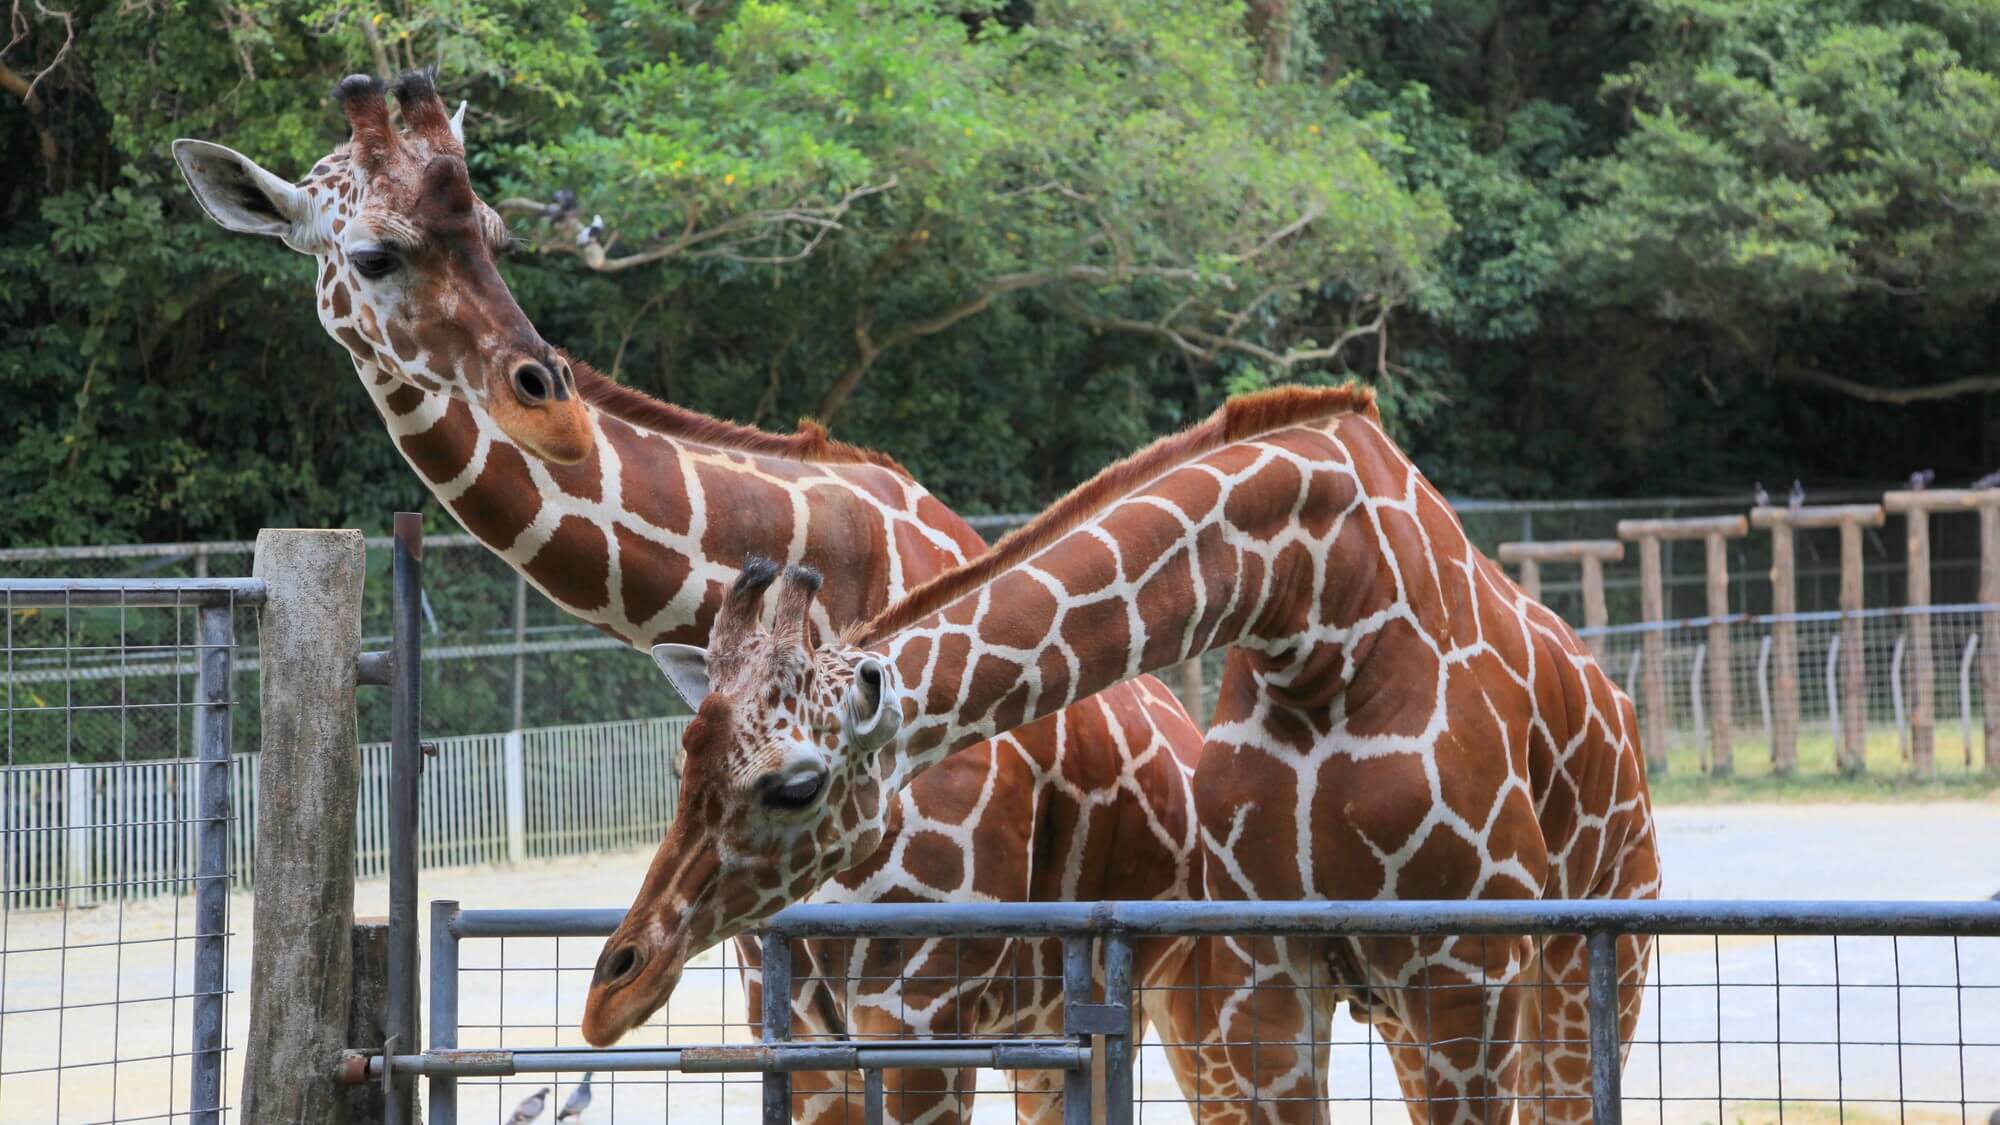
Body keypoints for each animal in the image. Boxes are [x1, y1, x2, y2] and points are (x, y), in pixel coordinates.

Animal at [172, 70, 1224, 1120]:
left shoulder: (924, 994)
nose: (550, 406)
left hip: (1189, 991)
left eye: (500, 236)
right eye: (373, 254)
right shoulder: (783, 987)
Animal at [584, 380, 1664, 1112]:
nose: (614, 985)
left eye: (792, 786)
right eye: (682, 760)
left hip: (1591, 963)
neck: (1318, 609)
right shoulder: (1268, 980)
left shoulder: (1463, 968)